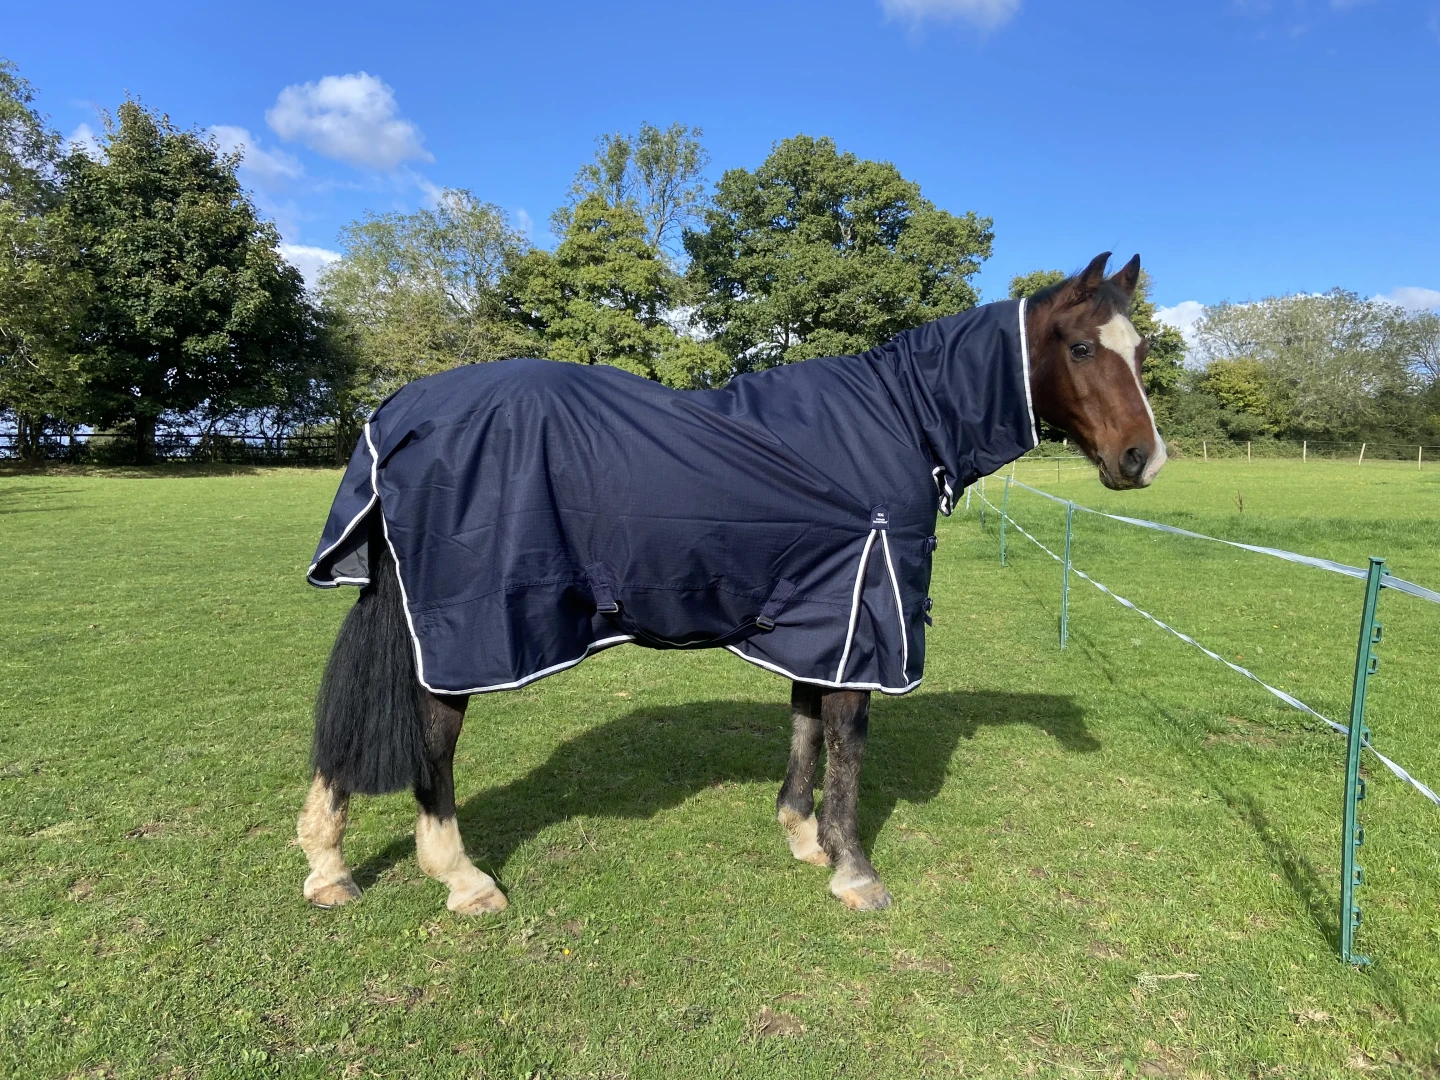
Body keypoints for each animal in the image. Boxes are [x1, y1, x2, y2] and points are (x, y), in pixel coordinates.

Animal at [297, 251, 1166, 916]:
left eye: (1143, 353)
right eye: (1082, 348)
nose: (1143, 460)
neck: (898, 421)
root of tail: (400, 411)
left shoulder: (821, 615)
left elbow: (807, 724)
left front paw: (804, 838)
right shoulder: (865, 609)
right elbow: (847, 741)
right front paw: (855, 871)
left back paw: (328, 869)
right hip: (462, 635)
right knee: (432, 747)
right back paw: (463, 880)